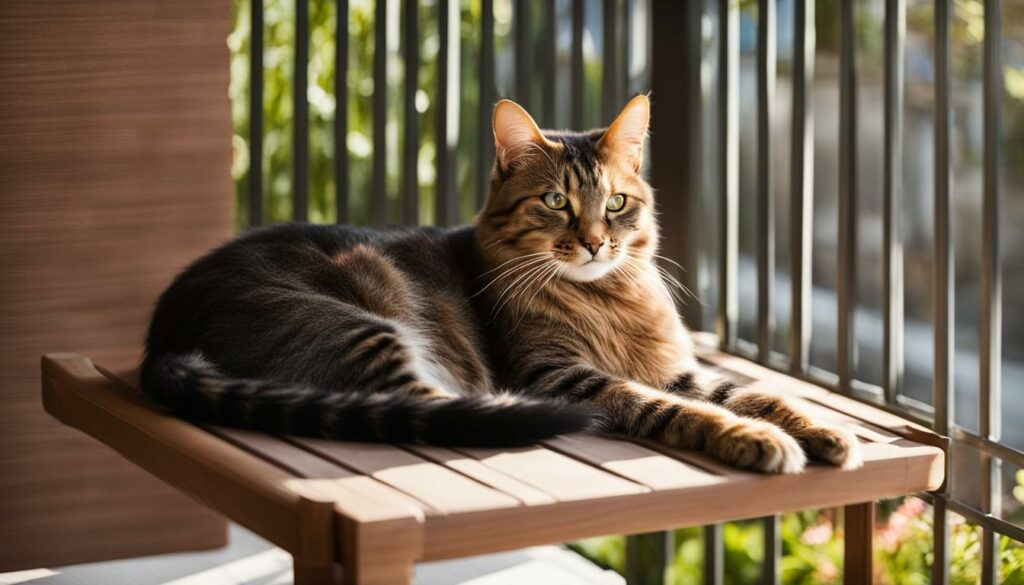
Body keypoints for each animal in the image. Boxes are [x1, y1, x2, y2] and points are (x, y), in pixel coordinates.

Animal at [142, 93, 864, 473]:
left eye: (617, 203)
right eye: (555, 202)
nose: (595, 242)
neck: (606, 297)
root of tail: (163, 338)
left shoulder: (672, 366)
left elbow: (750, 392)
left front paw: (817, 429)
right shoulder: (561, 373)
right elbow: (675, 407)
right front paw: (756, 440)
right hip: (363, 329)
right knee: (437, 409)